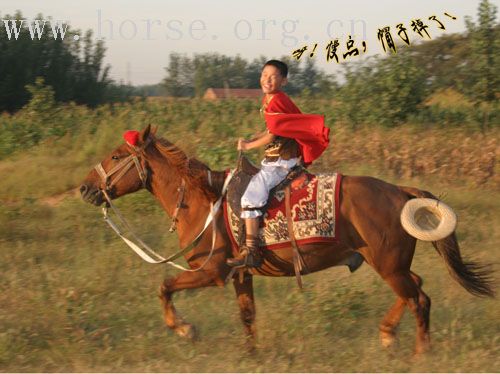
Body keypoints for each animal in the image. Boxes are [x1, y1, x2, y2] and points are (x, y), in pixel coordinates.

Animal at [80, 125, 494, 354]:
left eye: (116, 155)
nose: (85, 188)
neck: (201, 200)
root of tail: (401, 192)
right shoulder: (239, 273)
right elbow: (247, 314)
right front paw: (251, 355)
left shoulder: (212, 271)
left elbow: (165, 286)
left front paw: (184, 328)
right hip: (392, 264)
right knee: (414, 291)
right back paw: (388, 334)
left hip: (388, 264)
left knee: (419, 299)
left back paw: (420, 353)